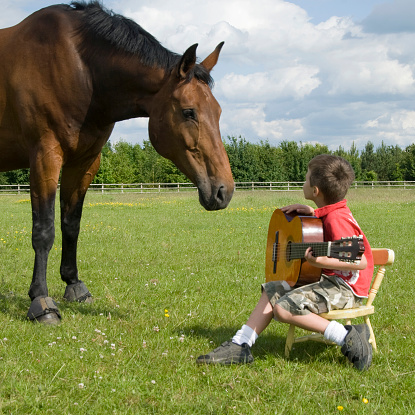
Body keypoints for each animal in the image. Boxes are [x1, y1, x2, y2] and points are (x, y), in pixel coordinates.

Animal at [0, 0, 234, 324]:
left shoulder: (84, 162)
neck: (81, 69)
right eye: (189, 112)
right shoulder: (45, 157)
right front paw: (42, 302)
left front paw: (74, 285)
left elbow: (71, 224)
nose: (225, 191)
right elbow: (44, 230)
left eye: (219, 111)